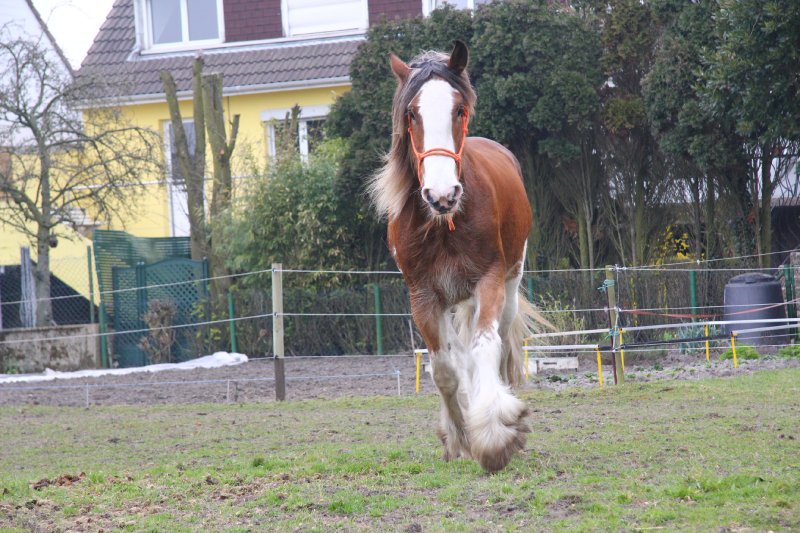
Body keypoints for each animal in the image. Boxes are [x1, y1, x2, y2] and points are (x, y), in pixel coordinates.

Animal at [370, 39, 544, 468]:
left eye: (459, 110)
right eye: (412, 114)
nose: (442, 194)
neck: (443, 223)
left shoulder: (489, 281)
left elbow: (486, 347)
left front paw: (496, 436)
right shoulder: (423, 296)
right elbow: (445, 369)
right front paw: (459, 437)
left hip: (509, 284)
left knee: (498, 345)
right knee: (460, 355)